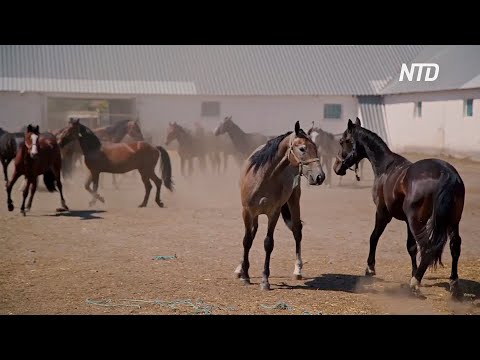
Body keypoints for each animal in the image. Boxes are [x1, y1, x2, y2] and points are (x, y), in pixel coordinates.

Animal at [236, 121, 326, 290]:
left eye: (316, 148)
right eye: (302, 148)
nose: (320, 177)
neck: (263, 177)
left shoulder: (274, 213)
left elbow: (268, 243)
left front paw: (265, 280)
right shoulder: (247, 212)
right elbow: (247, 240)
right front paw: (244, 275)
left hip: (294, 201)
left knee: (297, 231)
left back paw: (297, 270)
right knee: (252, 233)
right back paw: (240, 268)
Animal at [334, 117, 464, 298]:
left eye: (342, 141)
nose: (337, 167)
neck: (386, 167)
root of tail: (446, 174)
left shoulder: (383, 213)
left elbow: (374, 237)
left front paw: (370, 268)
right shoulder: (407, 221)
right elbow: (411, 247)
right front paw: (413, 272)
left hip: (418, 221)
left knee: (427, 248)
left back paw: (414, 284)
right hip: (452, 222)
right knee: (454, 247)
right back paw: (453, 285)